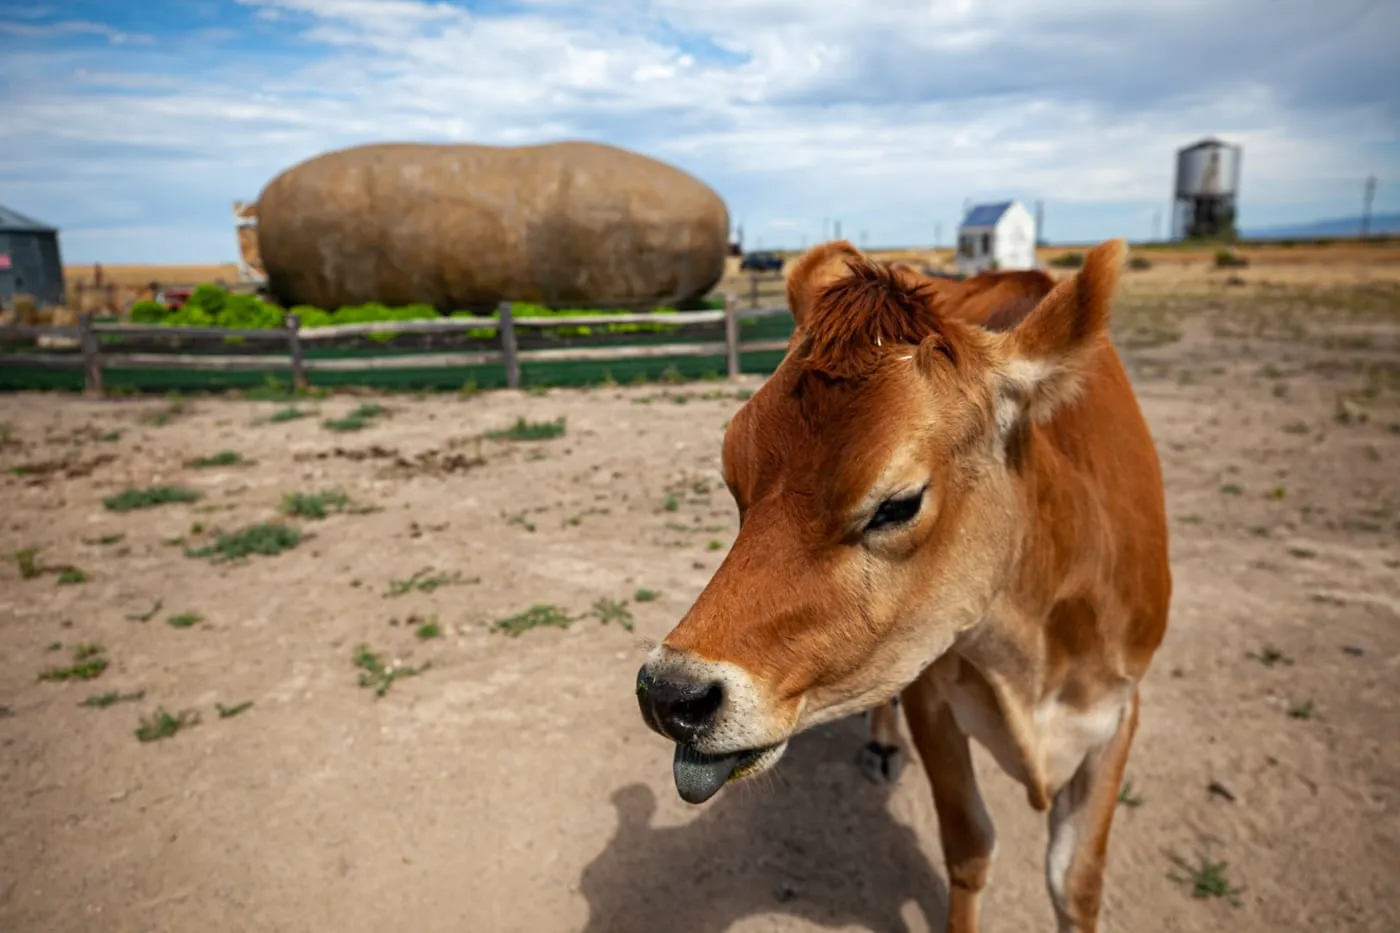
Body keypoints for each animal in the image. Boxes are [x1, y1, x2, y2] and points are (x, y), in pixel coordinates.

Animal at [638, 238, 1170, 930]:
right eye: (735, 477)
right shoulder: (930, 691)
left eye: (898, 504)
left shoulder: (1119, 709)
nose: (669, 691)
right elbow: (969, 848)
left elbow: (1075, 882)